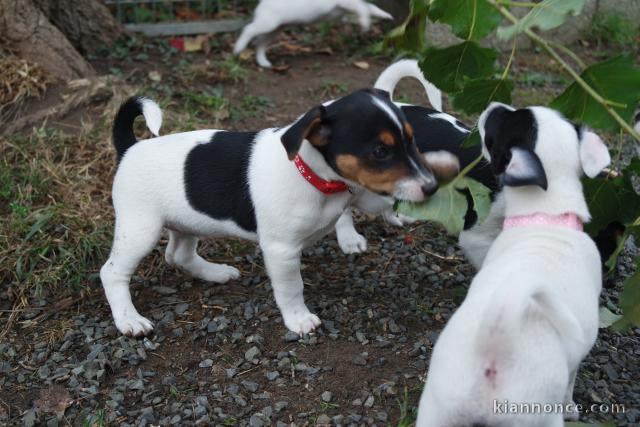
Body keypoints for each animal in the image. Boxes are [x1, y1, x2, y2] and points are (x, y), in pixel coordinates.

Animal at [101, 89, 460, 338]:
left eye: (412, 140)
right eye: (380, 151)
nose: (430, 187)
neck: (315, 177)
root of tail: (131, 148)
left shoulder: (358, 193)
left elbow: (378, 202)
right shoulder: (281, 250)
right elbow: (292, 288)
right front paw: (299, 319)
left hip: (188, 220)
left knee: (178, 255)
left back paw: (215, 273)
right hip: (141, 228)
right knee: (112, 272)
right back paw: (129, 320)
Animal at [232, 0, 392, 67]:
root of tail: (262, 3)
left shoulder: (347, 9)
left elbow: (369, 7)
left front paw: (384, 15)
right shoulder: (348, 2)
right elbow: (364, 9)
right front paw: (365, 24)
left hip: (274, 29)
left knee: (260, 43)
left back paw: (263, 62)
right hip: (268, 24)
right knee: (249, 29)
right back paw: (239, 47)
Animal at [416, 103, 608, 427]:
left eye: (495, 127)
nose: (494, 105)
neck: (546, 215)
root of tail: (494, 347)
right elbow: (571, 379)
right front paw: (571, 406)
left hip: (437, 410)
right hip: (537, 416)